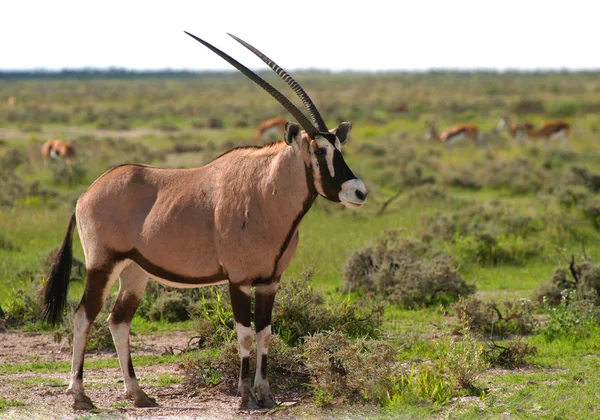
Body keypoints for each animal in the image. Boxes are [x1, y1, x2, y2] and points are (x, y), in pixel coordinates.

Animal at [41, 32, 366, 410]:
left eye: (339, 148)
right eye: (318, 151)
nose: (358, 191)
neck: (266, 192)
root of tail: (85, 194)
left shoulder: (270, 281)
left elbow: (265, 334)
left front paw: (266, 394)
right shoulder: (239, 280)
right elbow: (244, 334)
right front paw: (244, 397)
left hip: (135, 271)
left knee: (118, 320)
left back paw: (138, 393)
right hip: (103, 263)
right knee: (84, 315)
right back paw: (79, 395)